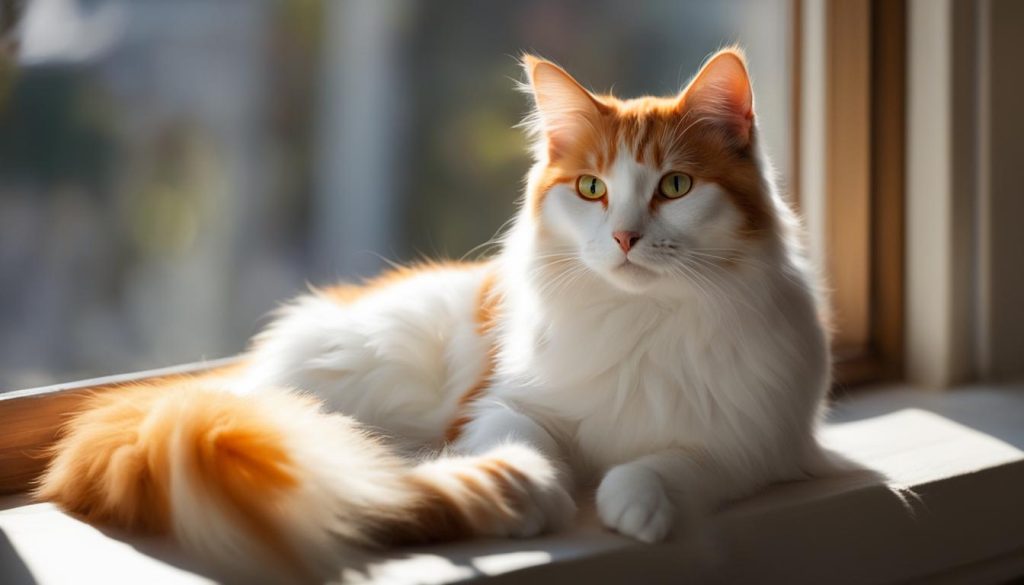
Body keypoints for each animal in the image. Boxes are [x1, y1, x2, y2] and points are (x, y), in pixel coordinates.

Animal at [37, 49, 839, 581]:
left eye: (675, 186)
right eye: (591, 188)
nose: (623, 237)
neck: (641, 320)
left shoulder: (756, 443)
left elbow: (675, 464)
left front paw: (634, 499)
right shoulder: (501, 401)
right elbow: (522, 442)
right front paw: (528, 486)